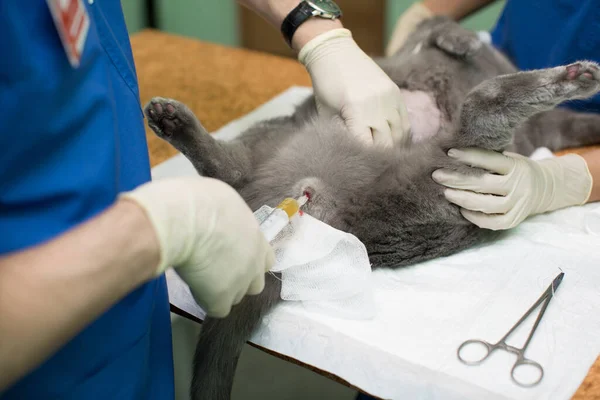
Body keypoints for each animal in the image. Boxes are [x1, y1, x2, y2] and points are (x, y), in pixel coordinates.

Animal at [142, 16, 600, 400]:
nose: (478, 47)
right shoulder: (413, 44)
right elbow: (434, 24)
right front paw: (463, 39)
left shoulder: (551, 129)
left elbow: (576, 125)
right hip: (319, 133)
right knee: (486, 100)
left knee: (232, 170)